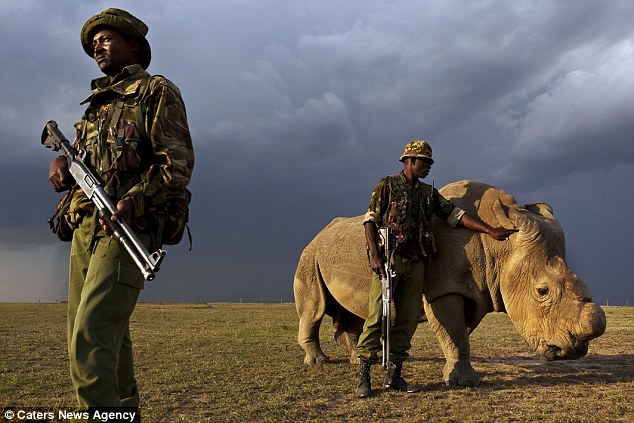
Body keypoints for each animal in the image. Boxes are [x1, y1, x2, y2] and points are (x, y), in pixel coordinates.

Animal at [294, 181, 604, 386]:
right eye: (542, 291)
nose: (574, 352)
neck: (499, 248)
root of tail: (318, 234)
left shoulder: (476, 289)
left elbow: (459, 334)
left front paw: (455, 374)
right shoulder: (443, 289)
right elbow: (454, 333)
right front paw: (463, 382)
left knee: (354, 312)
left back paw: (355, 359)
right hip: (309, 254)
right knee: (314, 308)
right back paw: (318, 361)